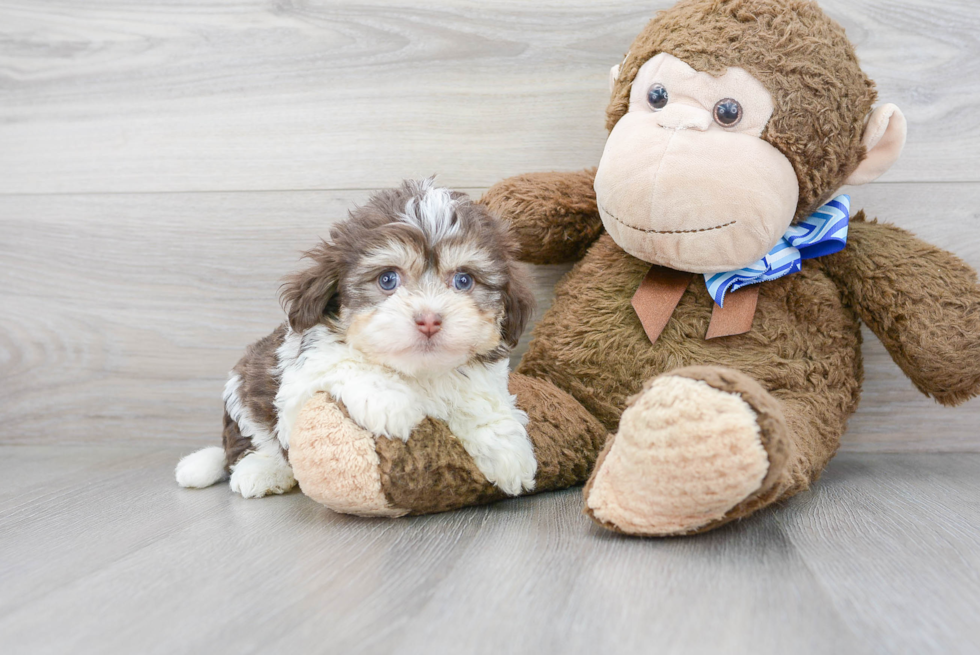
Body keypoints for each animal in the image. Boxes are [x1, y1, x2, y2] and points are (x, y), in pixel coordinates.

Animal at [174, 178, 536, 498]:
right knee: (249, 441)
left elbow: (479, 399)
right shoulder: (299, 380)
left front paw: (508, 450)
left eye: (463, 280)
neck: (417, 372)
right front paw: (391, 402)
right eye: (387, 279)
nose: (429, 320)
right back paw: (261, 471)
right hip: (242, 388)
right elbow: (346, 362)